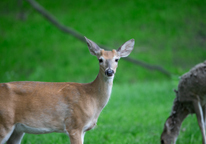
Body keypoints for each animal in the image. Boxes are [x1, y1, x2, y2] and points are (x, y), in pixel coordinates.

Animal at [0, 36, 135, 143]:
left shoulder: (83, 129)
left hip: (17, 130)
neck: (91, 96)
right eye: (100, 59)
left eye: (116, 59)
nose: (109, 72)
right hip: (4, 123)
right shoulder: (74, 125)